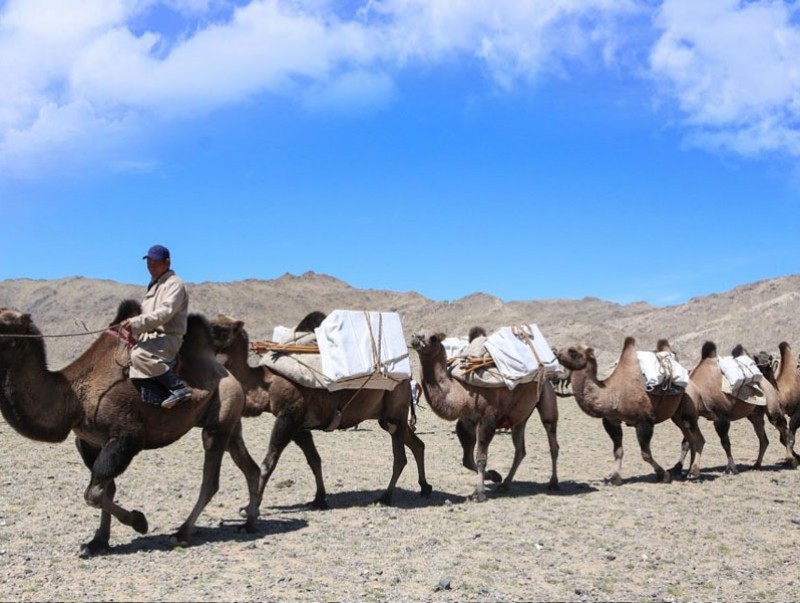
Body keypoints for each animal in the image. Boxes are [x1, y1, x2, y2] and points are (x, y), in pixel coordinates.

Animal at [0, 304, 260, 560]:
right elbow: (106, 489)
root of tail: (227, 373)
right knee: (250, 466)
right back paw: (249, 523)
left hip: (221, 413)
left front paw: (139, 521)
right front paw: (97, 543)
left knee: (210, 479)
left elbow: (93, 494)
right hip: (230, 421)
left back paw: (182, 533)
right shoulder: (89, 442)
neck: (74, 398)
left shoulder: (126, 438)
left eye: (3, 323)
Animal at [206, 312, 432, 510]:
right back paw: (424, 487)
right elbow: (314, 460)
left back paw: (385, 497)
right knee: (417, 445)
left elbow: (269, 462)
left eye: (219, 328)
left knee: (400, 458)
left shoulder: (288, 418)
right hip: (389, 417)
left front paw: (250, 509)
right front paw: (319, 499)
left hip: (396, 410)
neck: (266, 383)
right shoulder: (299, 426)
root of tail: (408, 376)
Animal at [406, 328, 556, 502]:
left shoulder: (487, 421)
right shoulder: (466, 423)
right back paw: (505, 484)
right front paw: (494, 476)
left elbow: (480, 459)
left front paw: (479, 494)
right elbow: (467, 460)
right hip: (520, 418)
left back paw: (553, 483)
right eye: (418, 333)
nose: (415, 338)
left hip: (546, 392)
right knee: (520, 450)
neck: (463, 395)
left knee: (551, 437)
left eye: (434, 338)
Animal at [556, 336, 700, 486]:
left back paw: (693, 473)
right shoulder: (611, 420)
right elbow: (618, 451)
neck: (612, 393)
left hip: (689, 410)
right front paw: (614, 478)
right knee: (690, 439)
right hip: (676, 416)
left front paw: (663, 475)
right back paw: (688, 472)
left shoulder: (645, 421)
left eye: (572, 350)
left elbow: (645, 454)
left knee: (697, 438)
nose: (556, 353)